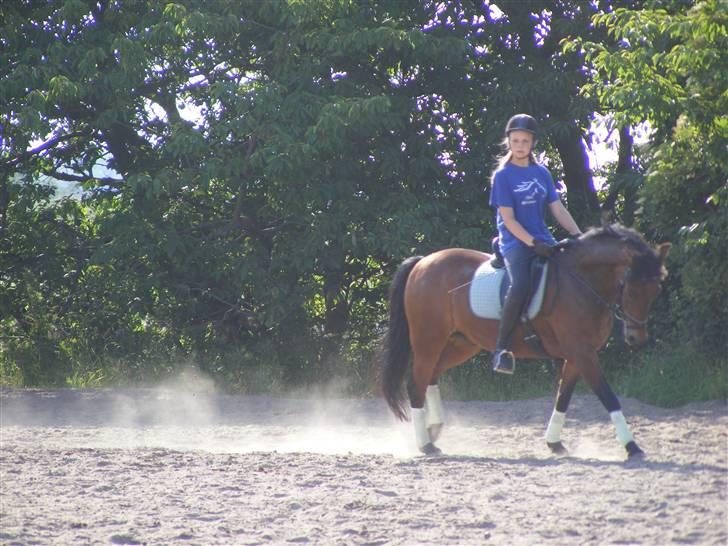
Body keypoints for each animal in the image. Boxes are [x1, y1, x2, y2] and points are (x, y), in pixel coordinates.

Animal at [382, 223, 672, 456]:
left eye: (656, 289)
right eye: (631, 289)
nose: (636, 337)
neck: (581, 281)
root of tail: (423, 262)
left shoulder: (577, 355)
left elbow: (563, 397)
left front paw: (554, 443)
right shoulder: (582, 352)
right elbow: (608, 396)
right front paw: (631, 446)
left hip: (461, 344)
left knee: (431, 376)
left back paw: (434, 430)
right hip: (428, 342)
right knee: (415, 384)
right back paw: (425, 444)